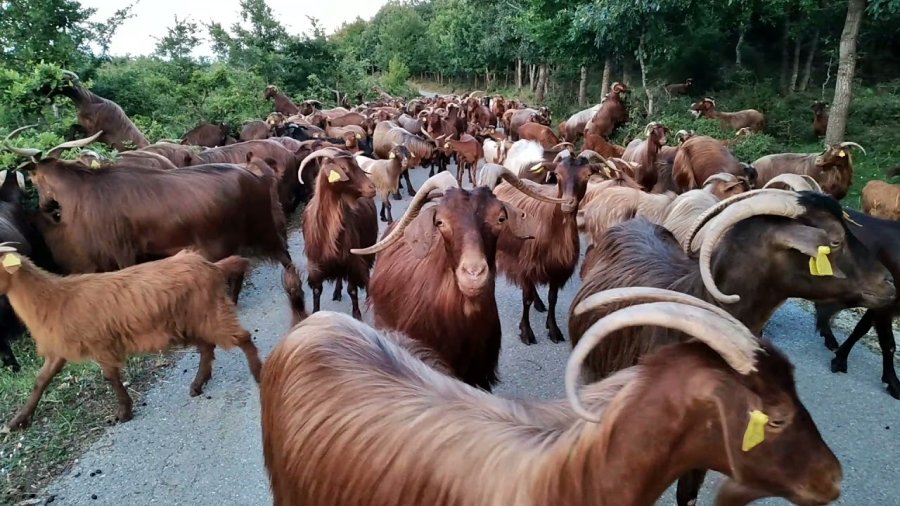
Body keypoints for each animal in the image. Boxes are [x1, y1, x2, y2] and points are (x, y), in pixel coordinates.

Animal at [2, 247, 260, 428]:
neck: (54, 298)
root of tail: (210, 265)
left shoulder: (100, 344)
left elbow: (111, 378)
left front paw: (124, 413)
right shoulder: (59, 351)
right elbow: (41, 380)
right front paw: (17, 422)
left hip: (208, 312)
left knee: (241, 337)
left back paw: (257, 373)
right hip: (190, 322)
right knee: (207, 347)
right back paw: (197, 385)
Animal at [298, 147, 376, 320]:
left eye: (357, 165)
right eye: (344, 168)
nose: (372, 187)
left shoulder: (353, 260)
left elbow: (352, 290)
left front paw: (357, 315)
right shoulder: (316, 264)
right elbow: (317, 291)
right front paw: (315, 313)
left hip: (368, 246)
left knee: (367, 272)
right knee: (340, 276)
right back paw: (337, 292)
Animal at [816, 206, 900, 400]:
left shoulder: (879, 301)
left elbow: (861, 329)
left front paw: (840, 358)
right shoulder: (886, 307)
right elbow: (889, 344)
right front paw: (893, 383)